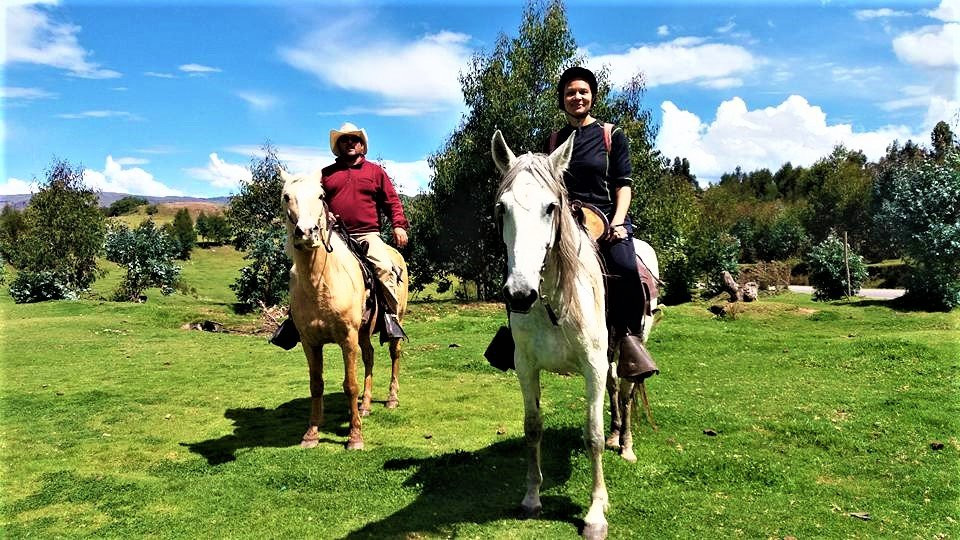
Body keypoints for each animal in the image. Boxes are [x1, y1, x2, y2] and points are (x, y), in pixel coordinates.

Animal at [282, 170, 408, 452]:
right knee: (370, 356)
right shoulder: (309, 342)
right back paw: (366, 405)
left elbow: (350, 384)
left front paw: (355, 436)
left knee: (394, 354)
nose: (307, 233)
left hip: (393, 322)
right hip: (363, 331)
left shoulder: (347, 338)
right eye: (286, 196)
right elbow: (316, 385)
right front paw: (312, 434)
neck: (320, 281)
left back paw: (392, 399)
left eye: (321, 195)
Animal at [492, 131, 612, 540]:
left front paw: (596, 512)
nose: (519, 294)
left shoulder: (595, 367)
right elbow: (532, 429)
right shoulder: (525, 366)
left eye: (550, 207)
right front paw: (531, 498)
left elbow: (594, 434)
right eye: (502, 209)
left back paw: (623, 442)